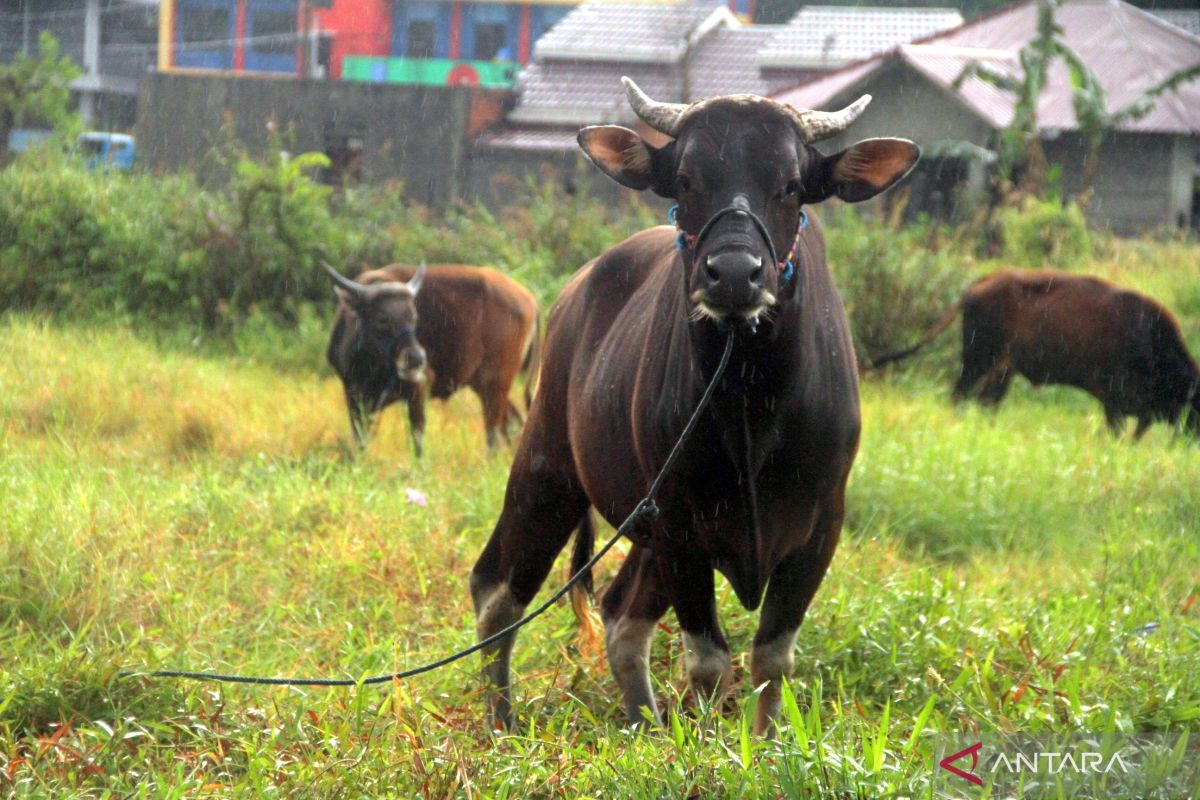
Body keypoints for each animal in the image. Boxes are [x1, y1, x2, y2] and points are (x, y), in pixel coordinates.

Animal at [324, 262, 540, 455]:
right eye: (382, 318)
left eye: (413, 316)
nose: (416, 358)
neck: (369, 364)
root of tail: (529, 299)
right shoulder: (353, 395)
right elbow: (360, 440)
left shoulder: (418, 388)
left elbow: (417, 438)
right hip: (482, 384)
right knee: (513, 424)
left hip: (496, 381)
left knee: (494, 433)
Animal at [468, 77, 916, 734]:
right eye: (685, 179)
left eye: (790, 183)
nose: (732, 273)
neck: (751, 400)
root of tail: (571, 294)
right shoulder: (681, 525)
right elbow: (707, 660)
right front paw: (705, 743)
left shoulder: (819, 526)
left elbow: (771, 656)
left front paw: (761, 740)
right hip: (548, 465)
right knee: (498, 591)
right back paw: (501, 720)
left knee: (620, 613)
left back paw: (644, 724)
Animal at [873, 268, 1200, 438]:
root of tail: (979, 285)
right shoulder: (1114, 400)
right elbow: (1119, 431)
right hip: (978, 362)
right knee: (961, 395)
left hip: (1002, 369)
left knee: (985, 402)